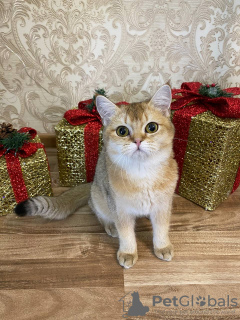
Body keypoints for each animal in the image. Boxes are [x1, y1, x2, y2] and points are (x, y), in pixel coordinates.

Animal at [14, 84, 177, 268]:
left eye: (152, 127)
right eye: (122, 131)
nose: (137, 141)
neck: (143, 174)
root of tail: (92, 183)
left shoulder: (163, 205)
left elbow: (161, 229)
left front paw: (162, 246)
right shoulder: (119, 209)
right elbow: (126, 233)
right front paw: (128, 252)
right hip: (100, 197)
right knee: (97, 210)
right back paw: (110, 226)